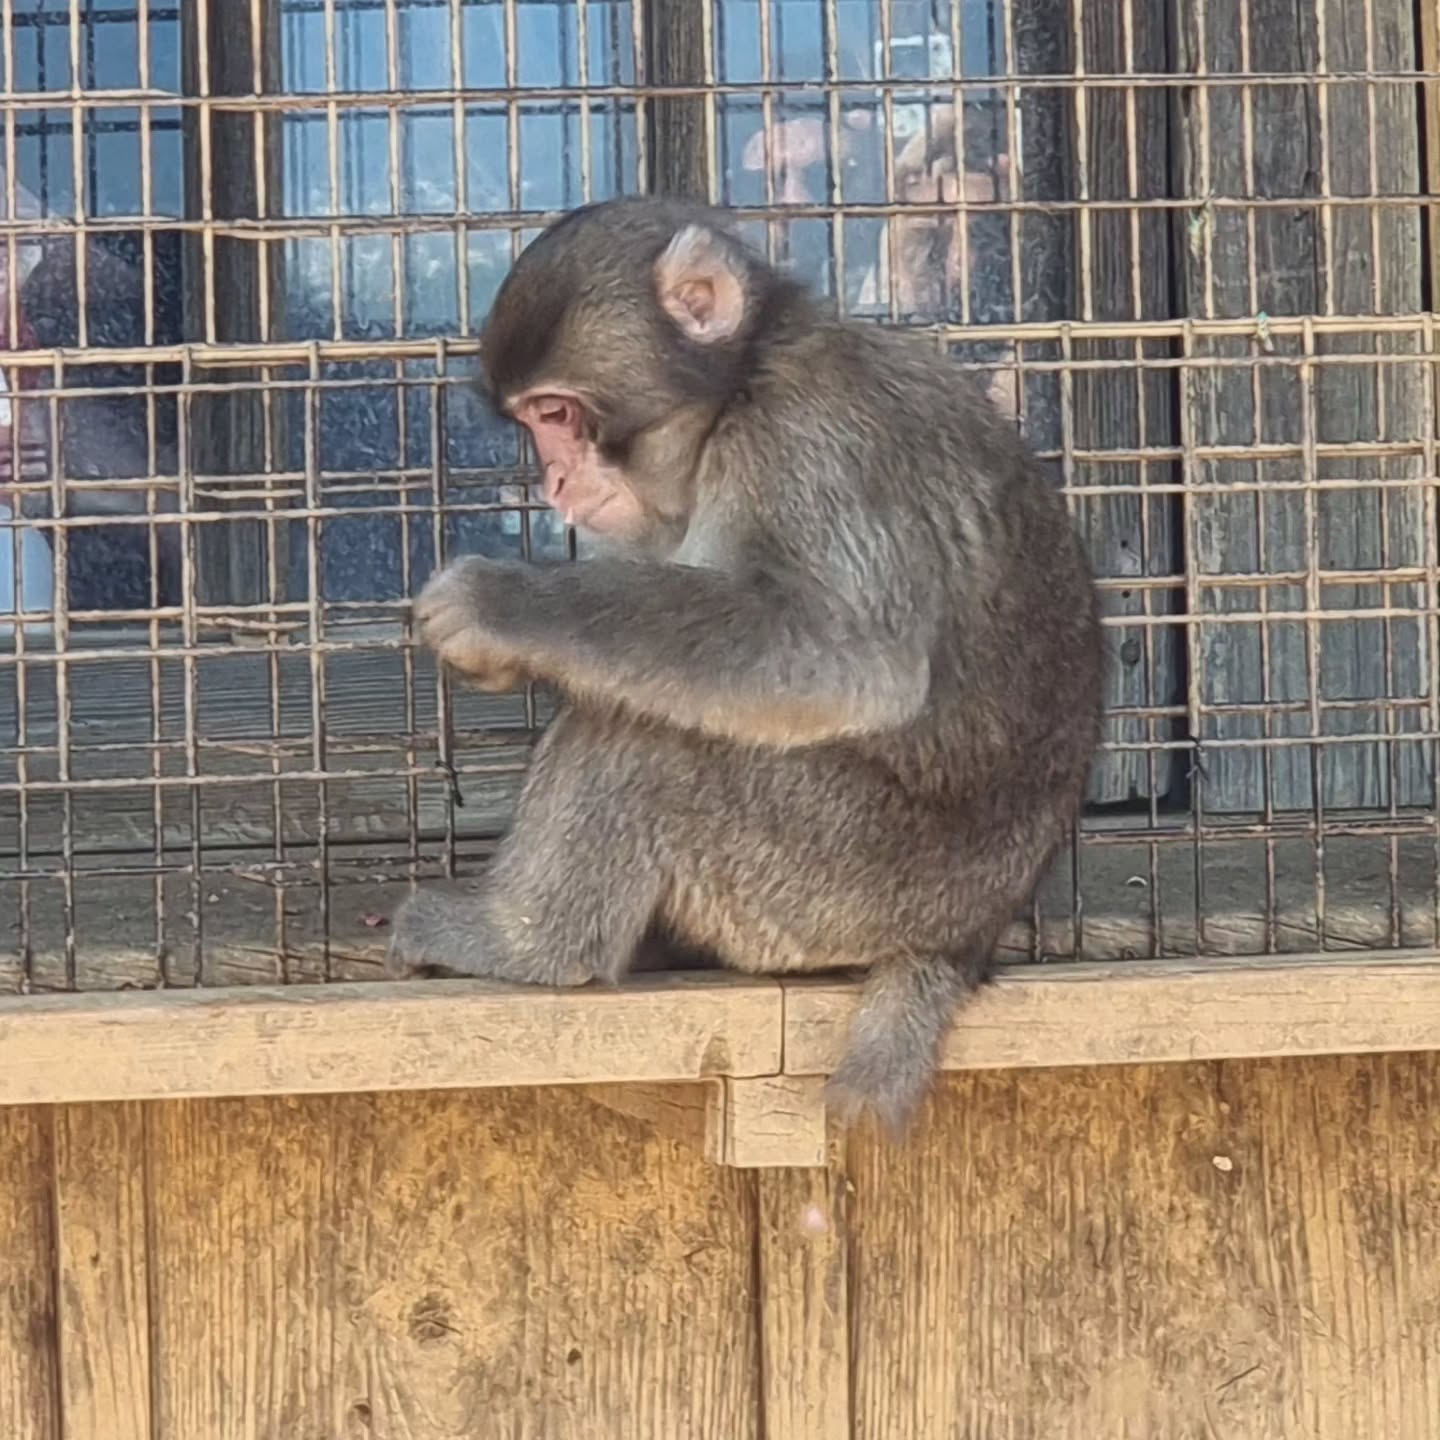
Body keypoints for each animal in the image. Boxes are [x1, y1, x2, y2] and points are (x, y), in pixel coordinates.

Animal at [386, 195, 1103, 1133]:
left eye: (560, 414)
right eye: (533, 423)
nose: (553, 482)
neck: (741, 386)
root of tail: (962, 935)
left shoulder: (806, 443)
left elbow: (847, 658)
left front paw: (502, 607)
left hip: (836, 882)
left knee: (651, 739)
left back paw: (534, 944)